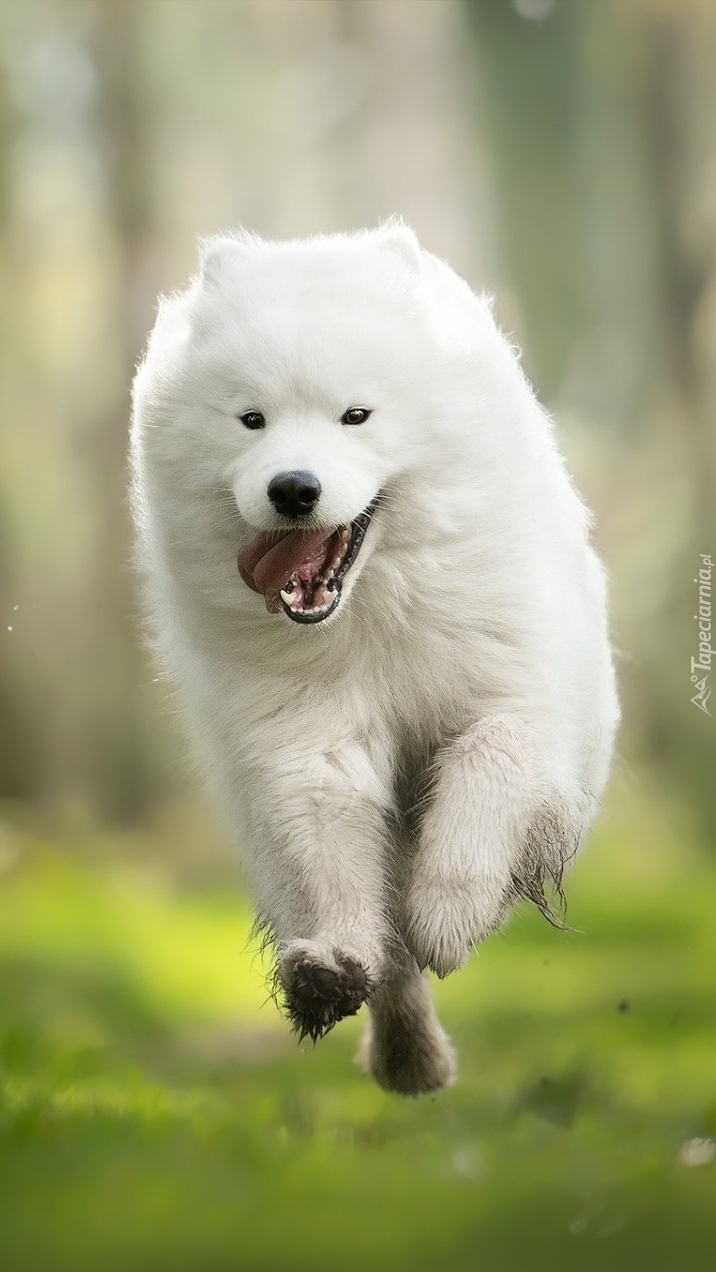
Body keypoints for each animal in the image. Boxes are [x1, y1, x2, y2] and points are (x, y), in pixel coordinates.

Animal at [131, 226, 618, 1093]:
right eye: (250, 420)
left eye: (355, 416)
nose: (293, 488)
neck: (372, 614)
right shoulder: (305, 742)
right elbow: (340, 875)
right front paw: (334, 965)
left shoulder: (521, 702)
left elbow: (486, 770)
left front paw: (450, 913)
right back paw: (405, 1053)